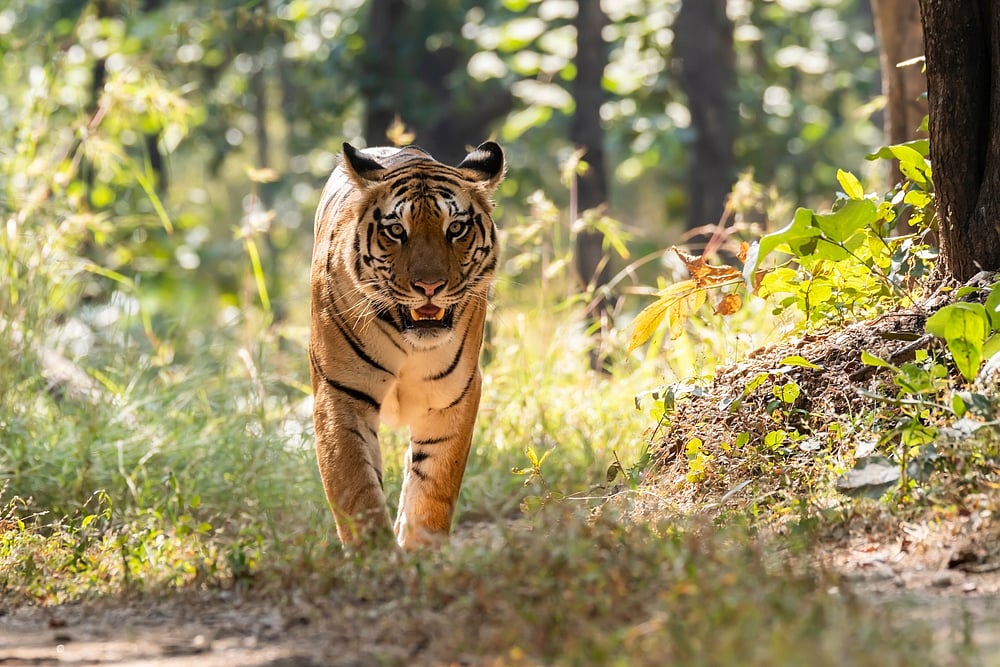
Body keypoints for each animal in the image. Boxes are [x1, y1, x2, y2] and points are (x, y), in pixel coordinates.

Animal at [309, 141, 505, 550]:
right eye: (397, 230)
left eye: (456, 228)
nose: (429, 286)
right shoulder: (340, 392)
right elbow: (355, 486)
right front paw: (374, 555)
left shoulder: (454, 395)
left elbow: (434, 482)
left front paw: (421, 551)